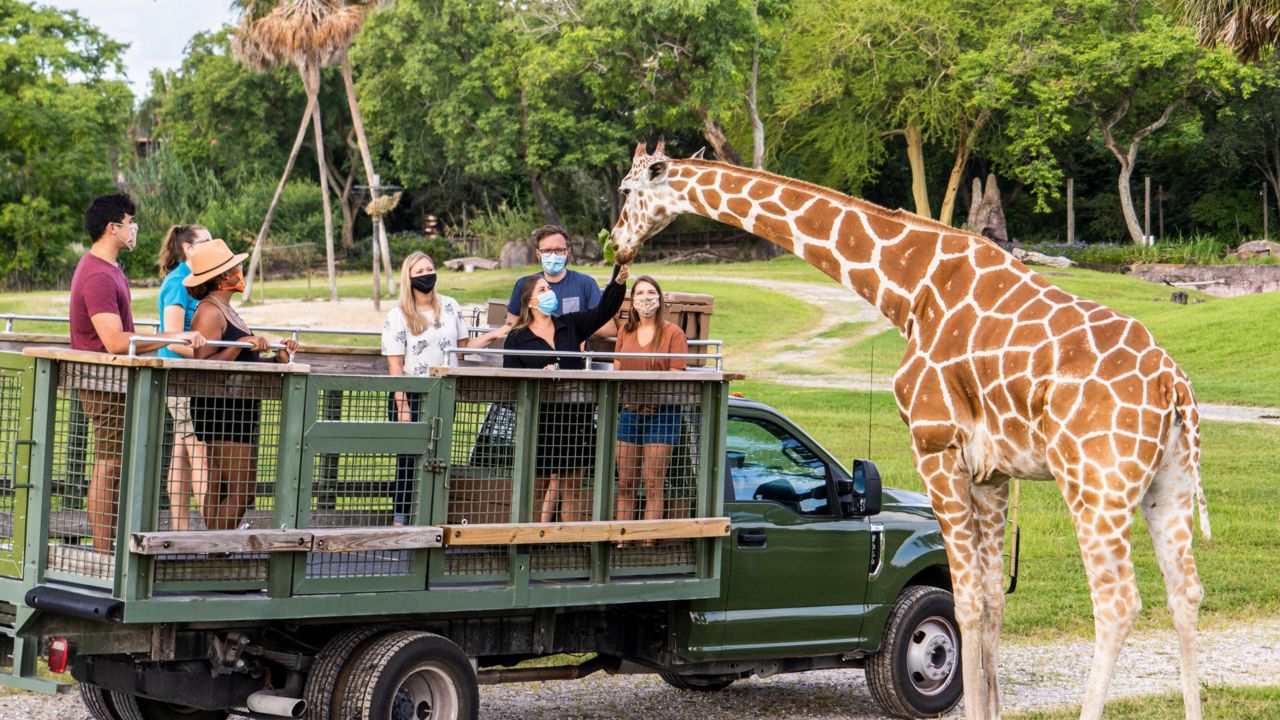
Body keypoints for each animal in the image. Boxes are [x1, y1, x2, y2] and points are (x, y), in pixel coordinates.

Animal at [609, 141, 1208, 717]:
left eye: (628, 190)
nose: (616, 245)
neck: (910, 288)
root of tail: (1173, 385)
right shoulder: (992, 472)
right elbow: (992, 599)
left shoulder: (934, 445)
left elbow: (965, 603)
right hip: (1168, 485)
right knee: (1186, 592)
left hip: (1095, 483)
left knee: (1118, 602)